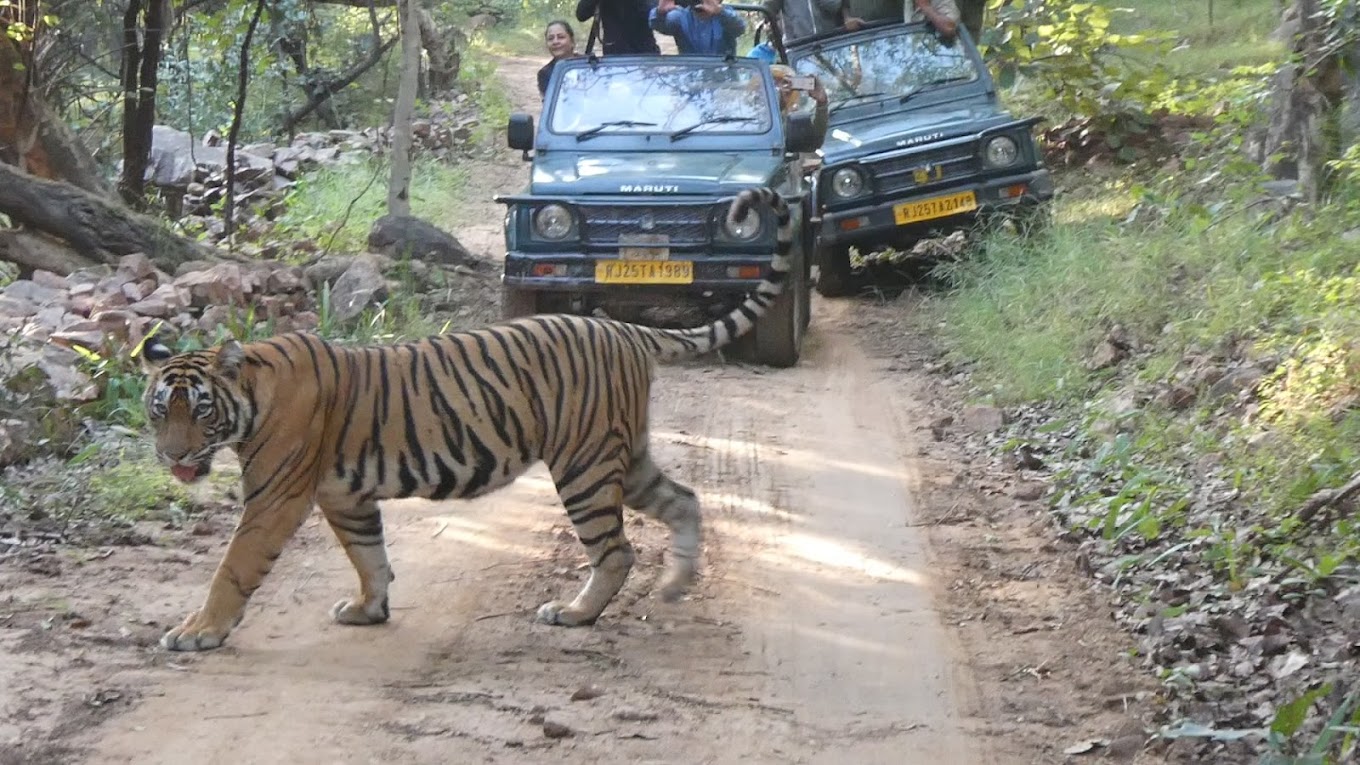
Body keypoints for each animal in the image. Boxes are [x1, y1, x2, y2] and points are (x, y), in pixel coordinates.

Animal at [140, 185, 794, 647]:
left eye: (201, 411)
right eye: (158, 413)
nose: (172, 456)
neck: (252, 396)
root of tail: (623, 329)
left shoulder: (274, 498)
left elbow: (234, 567)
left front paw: (198, 632)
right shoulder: (346, 497)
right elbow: (369, 556)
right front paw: (368, 609)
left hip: (584, 464)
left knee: (616, 551)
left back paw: (575, 613)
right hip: (625, 455)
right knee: (683, 499)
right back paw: (676, 585)